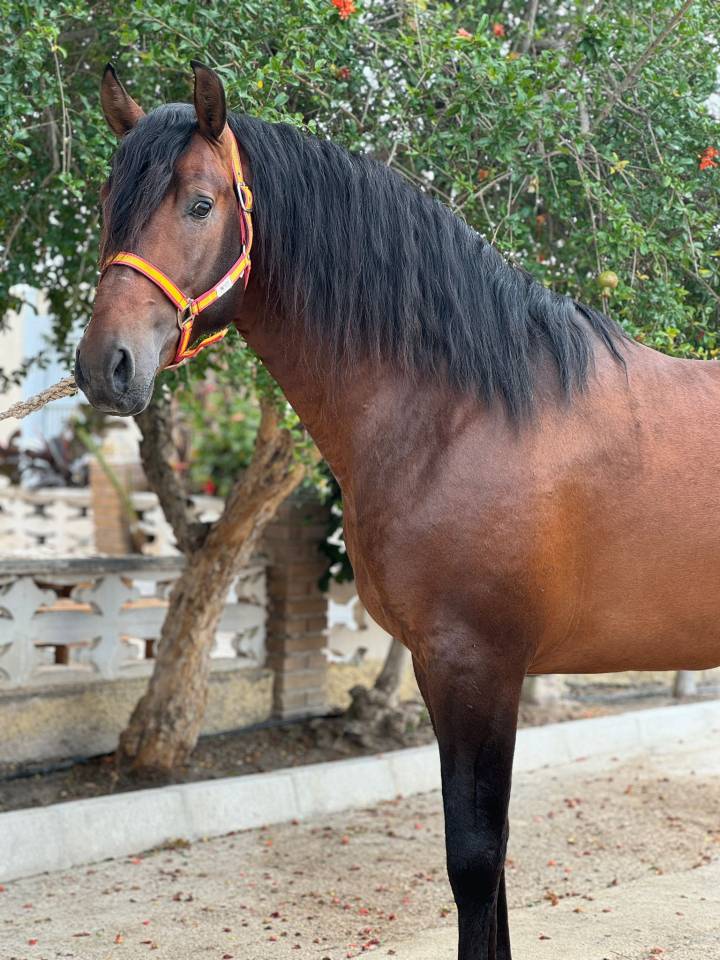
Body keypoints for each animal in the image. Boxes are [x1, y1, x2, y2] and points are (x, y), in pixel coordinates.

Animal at [74, 62, 720, 960]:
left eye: (200, 204)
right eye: (108, 199)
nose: (107, 365)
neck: (466, 411)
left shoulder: (476, 665)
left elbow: (475, 862)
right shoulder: (442, 667)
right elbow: (493, 867)